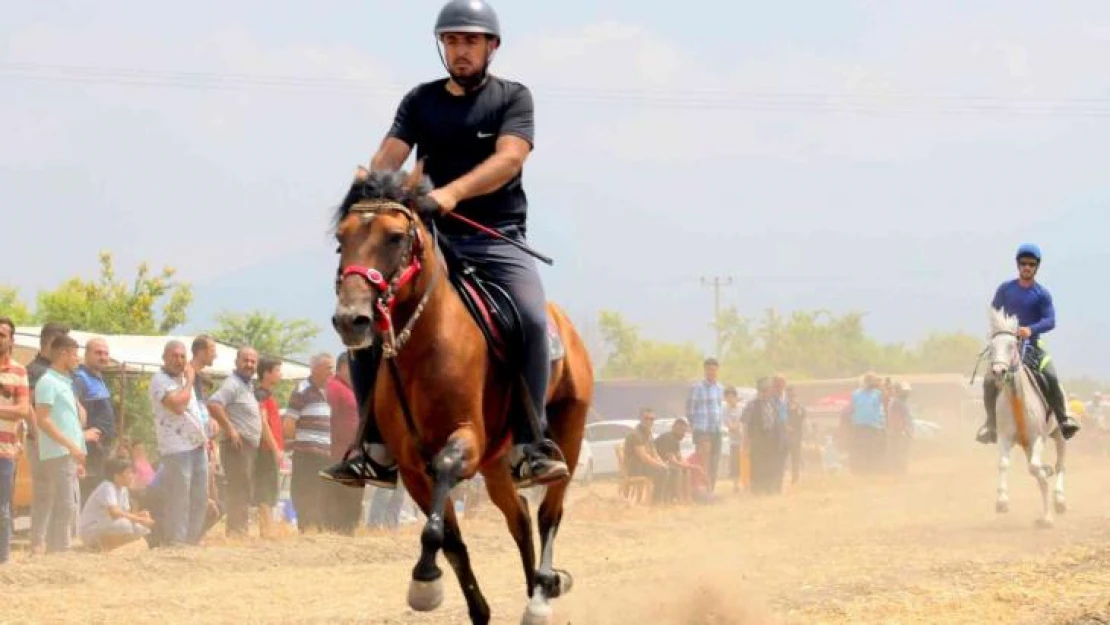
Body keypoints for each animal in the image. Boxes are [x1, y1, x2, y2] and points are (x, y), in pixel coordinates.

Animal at [328, 164, 594, 621]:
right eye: (342, 240)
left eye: (395, 237)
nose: (351, 319)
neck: (423, 346)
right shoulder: (413, 467)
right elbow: (448, 538)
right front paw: (461, 601)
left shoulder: (465, 440)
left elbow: (441, 503)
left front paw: (424, 582)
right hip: (498, 463)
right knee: (520, 517)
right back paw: (534, 587)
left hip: (568, 437)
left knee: (548, 513)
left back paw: (541, 597)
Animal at [990, 306, 1065, 528]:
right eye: (992, 346)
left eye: (1011, 345)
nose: (998, 371)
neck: (1018, 399)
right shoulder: (1005, 437)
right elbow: (1004, 464)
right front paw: (1002, 502)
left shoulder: (1037, 438)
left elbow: (1035, 468)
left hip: (1059, 435)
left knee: (1061, 465)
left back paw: (1059, 502)